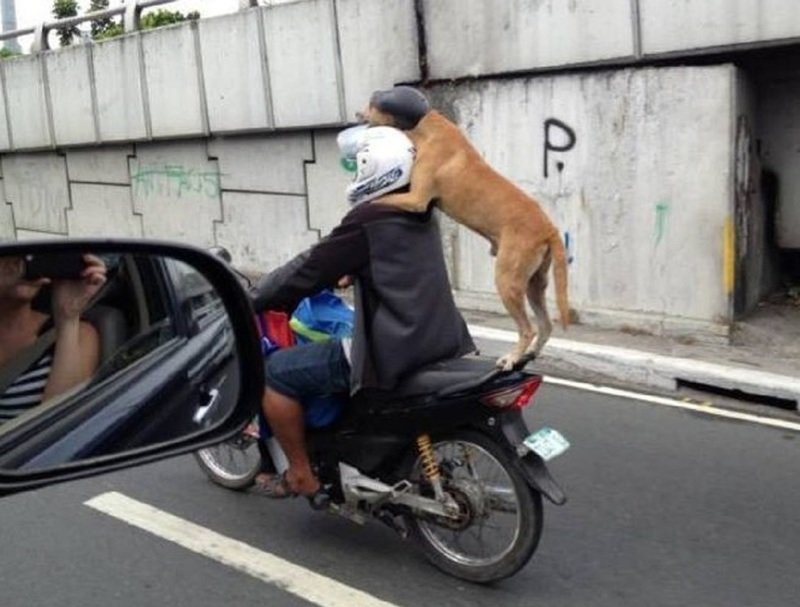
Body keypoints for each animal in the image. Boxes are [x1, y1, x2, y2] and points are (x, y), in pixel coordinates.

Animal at [362, 86, 568, 370]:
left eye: (373, 103)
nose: (358, 113)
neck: (425, 125)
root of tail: (549, 228)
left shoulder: (416, 199)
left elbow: (379, 200)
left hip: (508, 281)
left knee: (528, 329)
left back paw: (512, 358)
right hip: (533, 283)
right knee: (545, 325)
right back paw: (529, 354)